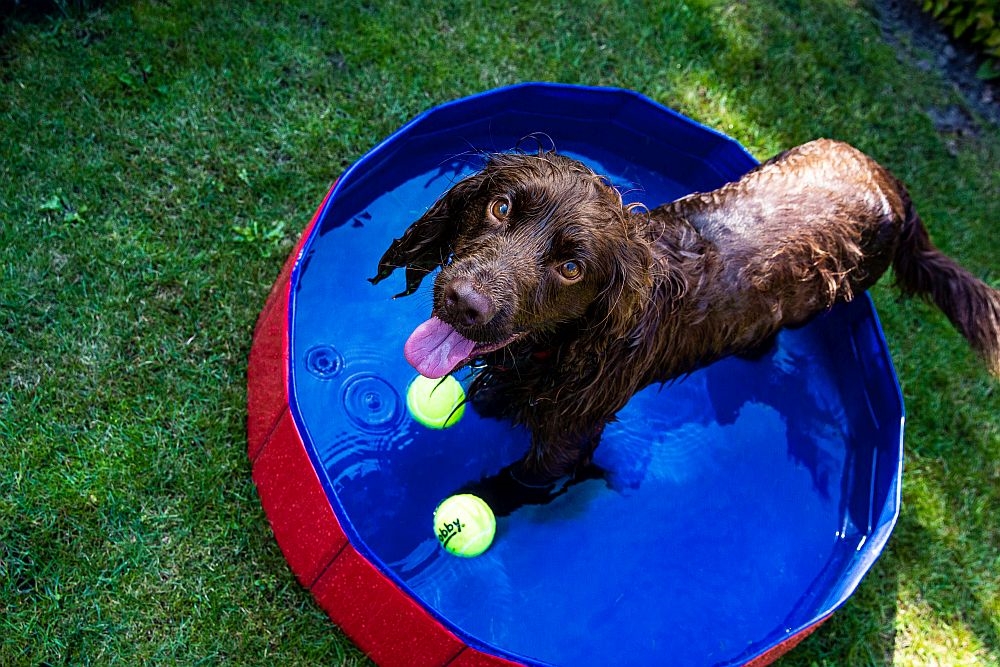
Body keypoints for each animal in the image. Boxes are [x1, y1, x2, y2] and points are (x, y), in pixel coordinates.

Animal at [370, 141, 1000, 482]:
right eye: (500, 207)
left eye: (571, 268)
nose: (463, 301)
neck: (564, 348)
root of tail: (894, 186)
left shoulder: (568, 444)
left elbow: (513, 484)